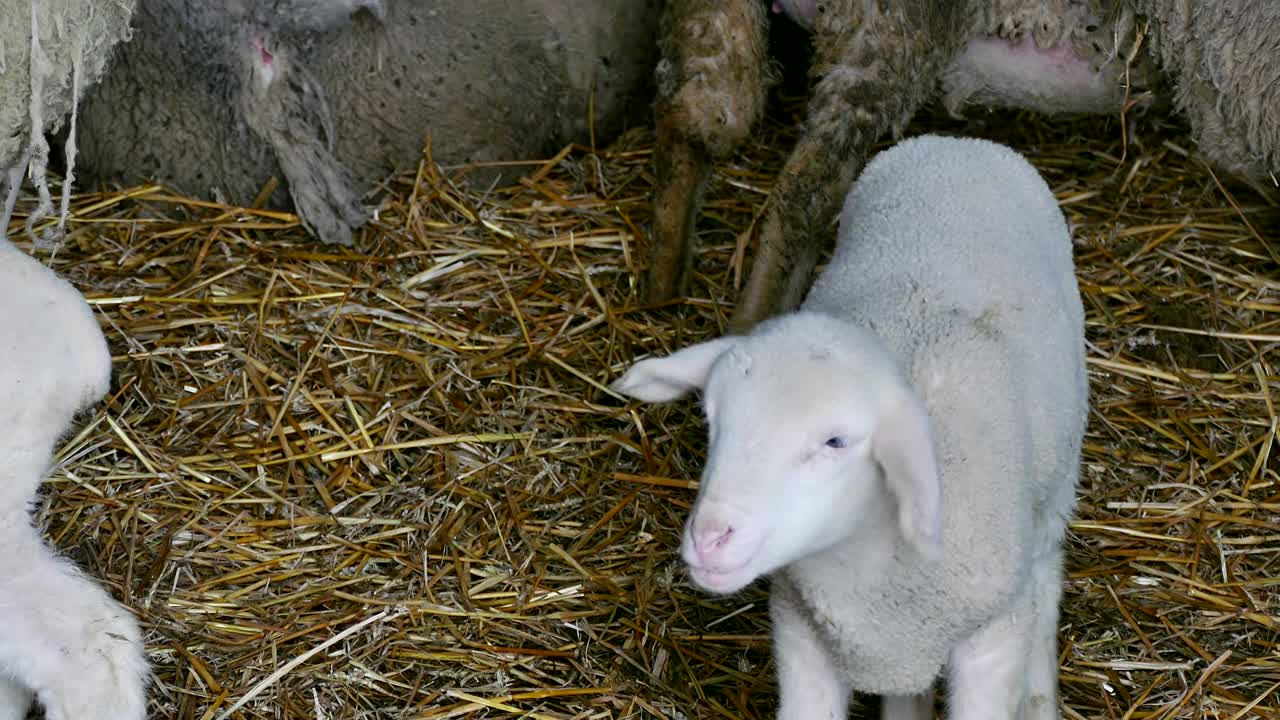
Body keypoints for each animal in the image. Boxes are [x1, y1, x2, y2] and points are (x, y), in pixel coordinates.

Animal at [611, 134, 1088, 719]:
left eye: (836, 441)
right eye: (712, 418)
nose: (709, 538)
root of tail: (958, 143)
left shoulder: (993, 638)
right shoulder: (802, 633)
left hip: (1056, 487)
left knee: (1046, 577)